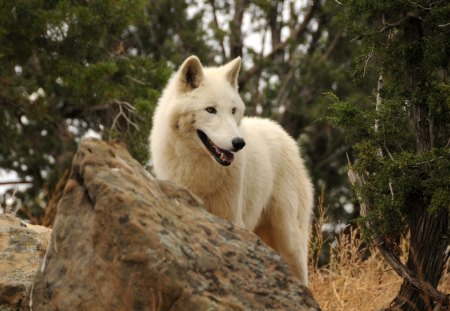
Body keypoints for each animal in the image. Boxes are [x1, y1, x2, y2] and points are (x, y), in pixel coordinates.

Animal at [150, 55, 312, 286]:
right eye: (210, 109)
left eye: (233, 110)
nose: (239, 143)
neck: (199, 168)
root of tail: (282, 132)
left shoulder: (231, 218)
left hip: (289, 238)